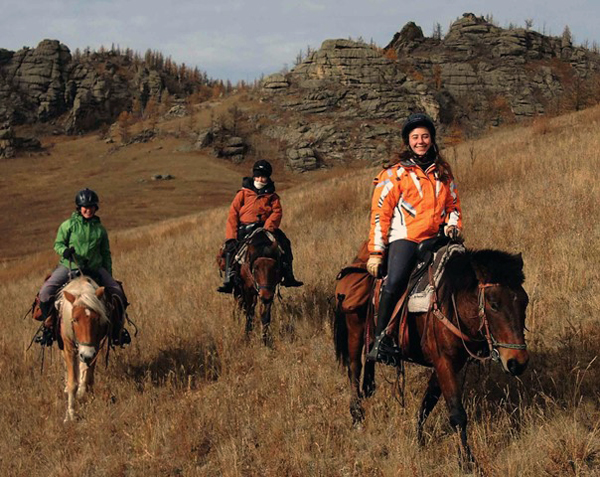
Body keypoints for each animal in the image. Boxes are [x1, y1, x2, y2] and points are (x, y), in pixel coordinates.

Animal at [56, 276, 109, 420]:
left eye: (96, 319)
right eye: (74, 319)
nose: (86, 354)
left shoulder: (95, 347)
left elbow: (88, 377)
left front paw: (89, 397)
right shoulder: (69, 348)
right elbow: (72, 382)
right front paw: (71, 414)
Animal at [332, 247, 528, 466]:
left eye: (525, 302)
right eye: (493, 304)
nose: (517, 362)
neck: (452, 300)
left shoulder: (449, 363)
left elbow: (429, 400)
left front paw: (419, 437)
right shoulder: (444, 361)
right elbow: (457, 413)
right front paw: (467, 461)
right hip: (354, 328)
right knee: (354, 368)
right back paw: (357, 416)